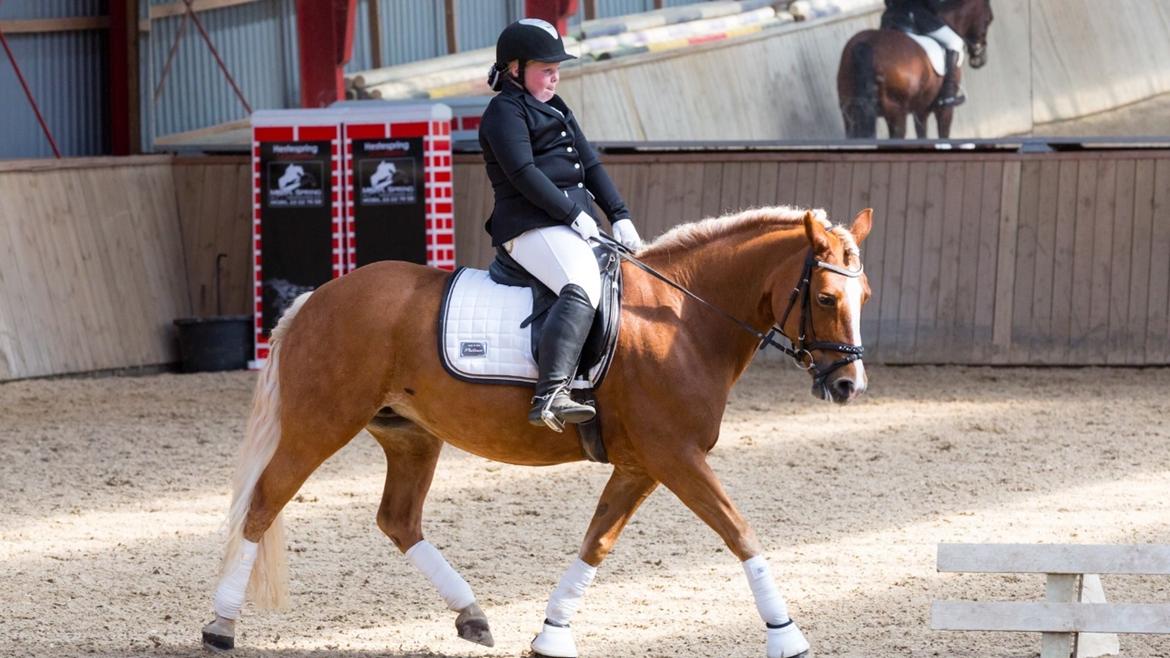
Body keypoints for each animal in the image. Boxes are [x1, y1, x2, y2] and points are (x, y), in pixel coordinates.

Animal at [201, 206, 875, 655]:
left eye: (863, 293)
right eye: (822, 298)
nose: (849, 385)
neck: (683, 317)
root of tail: (317, 297)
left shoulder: (641, 465)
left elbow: (597, 543)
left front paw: (552, 634)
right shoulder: (676, 457)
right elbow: (741, 533)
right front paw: (786, 634)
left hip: (410, 435)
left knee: (398, 520)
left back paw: (472, 615)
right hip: (320, 424)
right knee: (263, 504)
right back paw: (220, 625)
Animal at [837, 0, 992, 138]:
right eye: (989, 19)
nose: (979, 60)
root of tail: (865, 45)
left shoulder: (921, 109)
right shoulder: (944, 110)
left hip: (849, 113)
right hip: (896, 114)